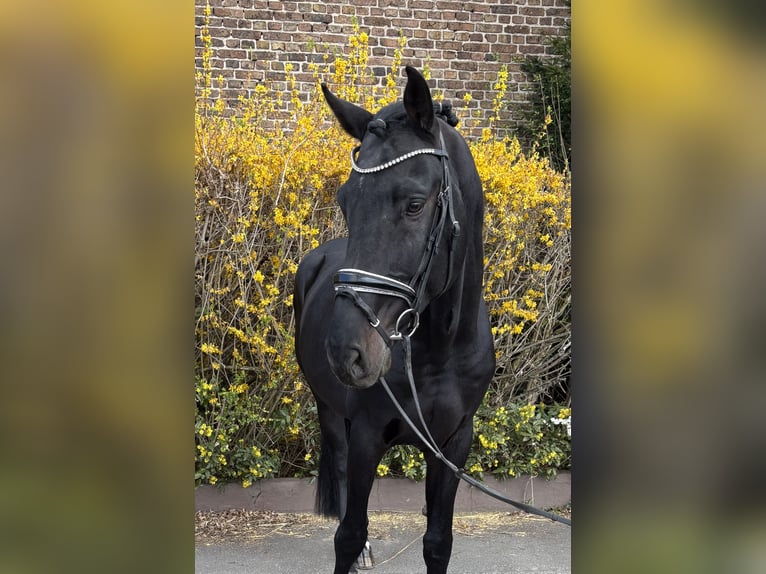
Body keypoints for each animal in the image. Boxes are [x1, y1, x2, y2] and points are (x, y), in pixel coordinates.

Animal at [293, 66, 495, 574]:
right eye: (345, 201)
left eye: (415, 204)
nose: (346, 352)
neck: (439, 351)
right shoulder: (367, 435)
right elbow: (348, 534)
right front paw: (356, 547)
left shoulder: (454, 444)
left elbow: (438, 541)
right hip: (328, 408)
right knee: (339, 461)